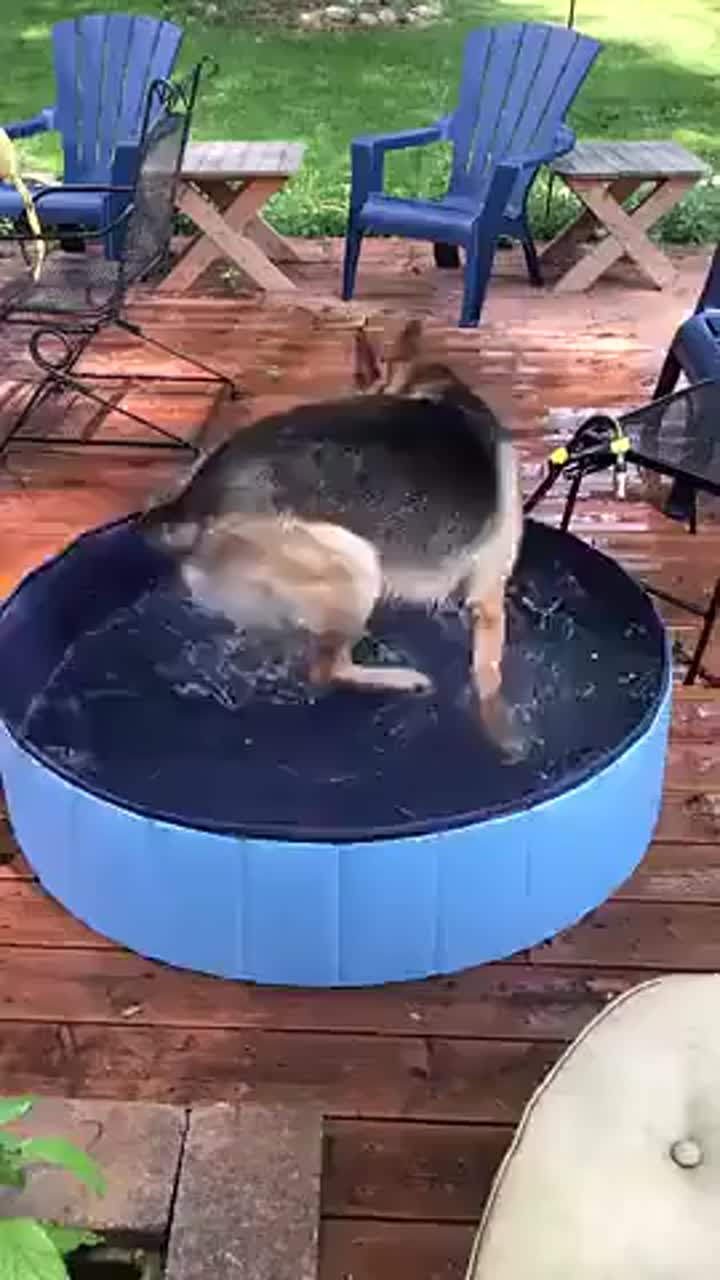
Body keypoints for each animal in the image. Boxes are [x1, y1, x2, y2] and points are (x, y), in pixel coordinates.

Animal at [139, 322, 520, 747]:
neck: (424, 382)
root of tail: (195, 497)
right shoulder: (488, 598)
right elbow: (489, 676)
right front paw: (501, 731)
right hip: (354, 563)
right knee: (326, 671)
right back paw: (400, 679)